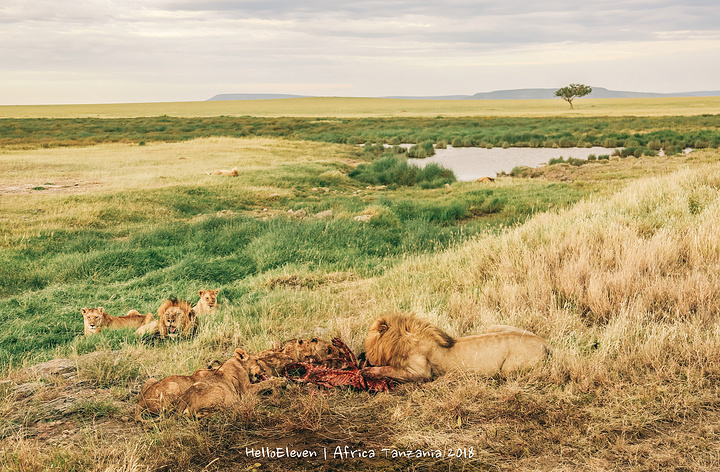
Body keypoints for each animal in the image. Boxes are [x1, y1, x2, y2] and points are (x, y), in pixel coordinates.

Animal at [362, 312, 548, 382]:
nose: (362, 355)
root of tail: (544, 342)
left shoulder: (422, 373)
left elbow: (389, 369)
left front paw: (367, 371)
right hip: (493, 326)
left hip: (508, 370)